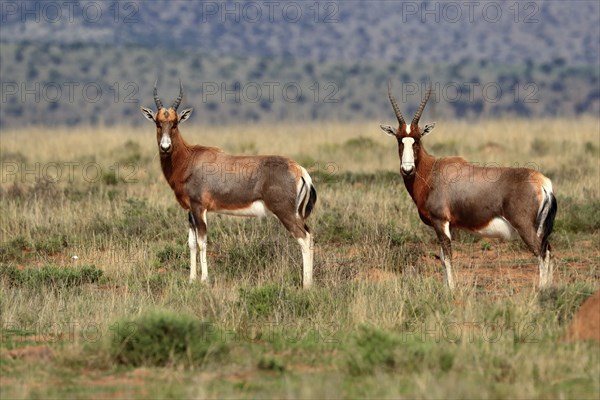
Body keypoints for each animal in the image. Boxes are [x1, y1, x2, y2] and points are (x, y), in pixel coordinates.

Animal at [142, 81, 316, 288]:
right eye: (158, 123)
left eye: (175, 123)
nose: (165, 147)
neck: (190, 159)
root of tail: (298, 169)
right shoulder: (190, 210)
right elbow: (191, 243)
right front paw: (192, 279)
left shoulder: (200, 208)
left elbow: (202, 242)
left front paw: (204, 279)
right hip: (296, 213)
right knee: (309, 236)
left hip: (285, 212)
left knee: (305, 238)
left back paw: (306, 285)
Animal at [380, 79, 556, 290]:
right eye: (399, 140)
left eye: (417, 139)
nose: (407, 170)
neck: (433, 171)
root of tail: (543, 183)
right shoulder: (450, 226)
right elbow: (442, 257)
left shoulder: (440, 222)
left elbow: (448, 256)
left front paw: (451, 289)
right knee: (549, 251)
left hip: (526, 227)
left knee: (542, 253)